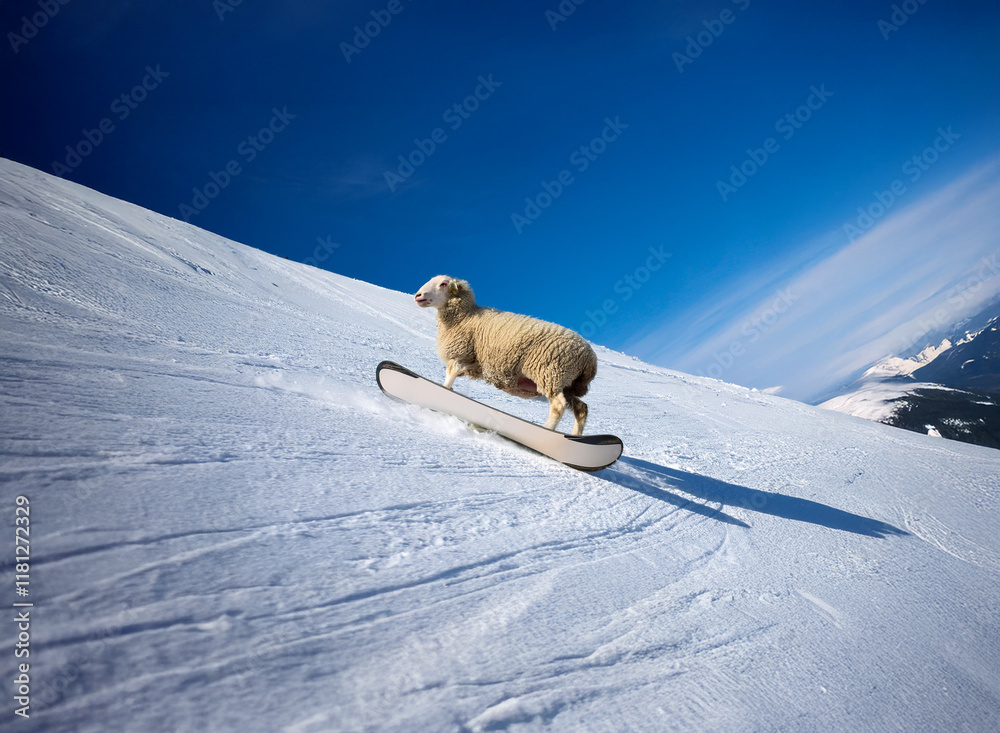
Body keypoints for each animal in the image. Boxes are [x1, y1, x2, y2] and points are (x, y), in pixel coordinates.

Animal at [414, 275, 598, 435]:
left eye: (443, 284)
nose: (417, 295)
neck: (465, 316)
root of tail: (590, 359)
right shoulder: (472, 362)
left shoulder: (461, 355)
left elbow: (448, 377)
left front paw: (444, 392)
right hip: (567, 384)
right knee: (581, 408)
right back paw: (576, 436)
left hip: (550, 373)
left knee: (559, 406)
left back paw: (548, 430)